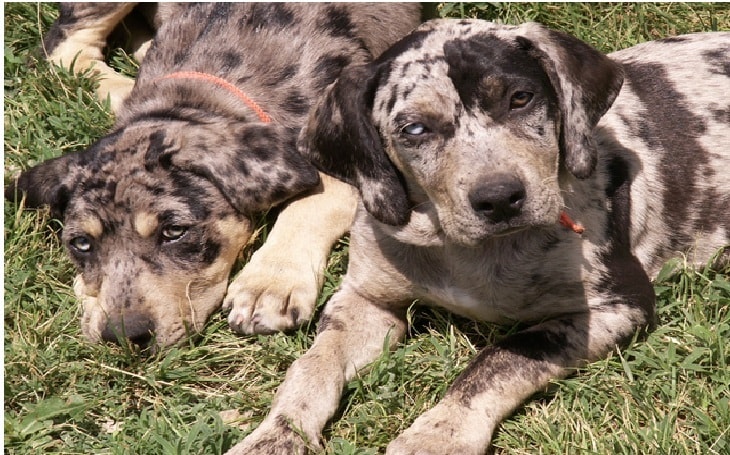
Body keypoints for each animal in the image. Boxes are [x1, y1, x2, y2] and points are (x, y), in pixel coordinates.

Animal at [4, 3, 420, 350]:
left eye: (174, 231)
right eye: (81, 244)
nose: (125, 337)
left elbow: (314, 202)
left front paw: (269, 285)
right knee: (61, 45)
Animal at [229, 18, 728, 455]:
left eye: (521, 98)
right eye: (414, 129)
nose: (501, 198)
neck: (470, 253)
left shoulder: (619, 305)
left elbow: (501, 358)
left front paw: (439, 434)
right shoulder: (365, 300)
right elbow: (311, 366)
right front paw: (275, 436)